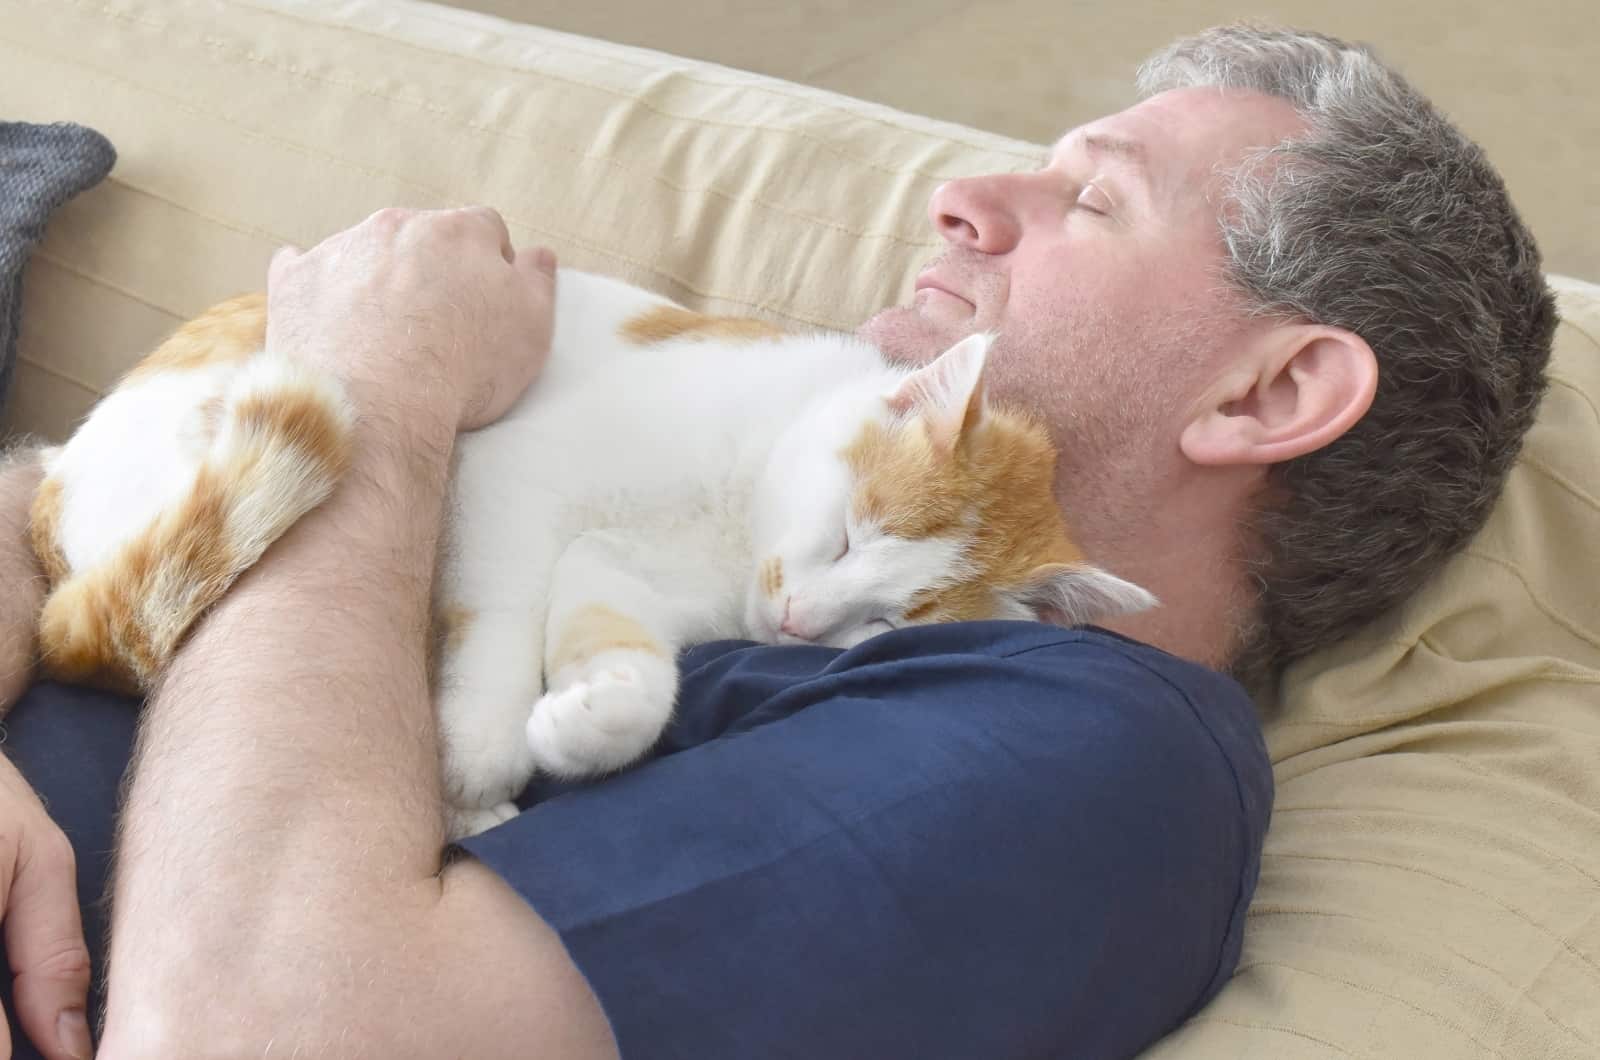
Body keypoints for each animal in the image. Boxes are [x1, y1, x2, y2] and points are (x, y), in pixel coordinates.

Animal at [25, 272, 1152, 839]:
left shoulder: (624, 577)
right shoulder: (506, 478)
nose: (796, 622)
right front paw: (481, 744)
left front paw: (593, 720)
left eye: (883, 624)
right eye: (847, 533)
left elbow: (624, 655)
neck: (737, 511)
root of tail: (51, 486)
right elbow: (502, 612)